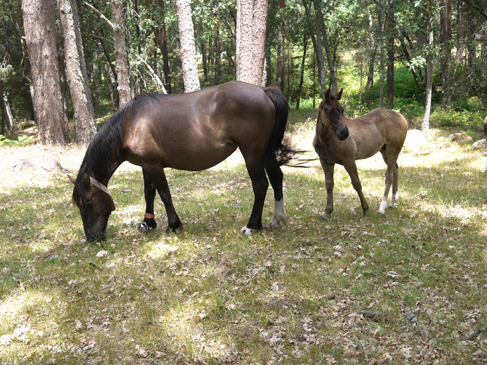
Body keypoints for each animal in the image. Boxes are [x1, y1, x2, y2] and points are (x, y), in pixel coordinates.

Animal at [68, 82, 290, 242]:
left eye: (88, 202)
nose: (91, 238)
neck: (129, 125)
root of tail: (264, 91)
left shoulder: (153, 166)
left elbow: (164, 194)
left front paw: (173, 225)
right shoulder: (146, 165)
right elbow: (149, 194)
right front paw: (148, 224)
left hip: (252, 152)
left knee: (260, 185)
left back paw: (252, 226)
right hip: (265, 152)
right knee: (277, 177)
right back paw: (277, 219)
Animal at [312, 88, 408, 218]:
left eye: (342, 110)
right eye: (330, 110)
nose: (344, 132)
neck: (326, 139)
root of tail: (401, 116)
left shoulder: (349, 160)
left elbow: (356, 183)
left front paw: (365, 208)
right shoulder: (326, 161)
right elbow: (329, 184)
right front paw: (327, 212)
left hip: (393, 149)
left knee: (389, 175)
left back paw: (382, 207)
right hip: (384, 151)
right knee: (395, 169)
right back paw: (392, 202)